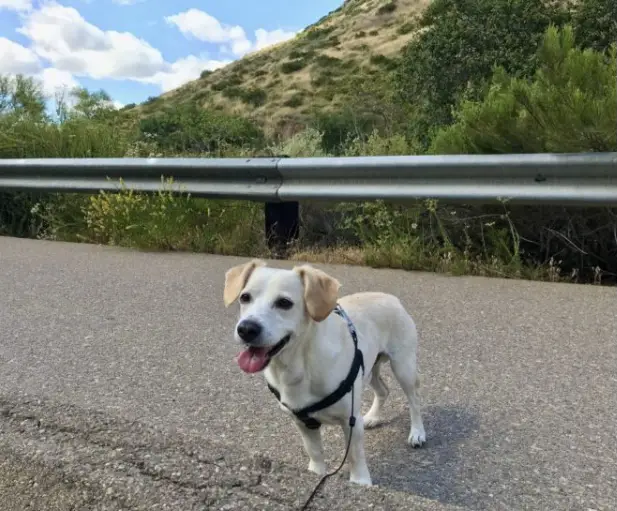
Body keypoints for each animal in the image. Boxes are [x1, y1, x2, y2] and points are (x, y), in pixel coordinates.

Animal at [223, 262, 424, 486]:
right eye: (245, 297)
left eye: (284, 303)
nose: (246, 329)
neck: (297, 367)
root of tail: (391, 298)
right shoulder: (302, 422)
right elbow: (315, 451)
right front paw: (316, 473)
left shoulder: (350, 421)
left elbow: (355, 456)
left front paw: (360, 482)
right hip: (369, 369)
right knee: (383, 390)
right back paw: (373, 417)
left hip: (403, 367)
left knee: (414, 400)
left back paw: (417, 433)